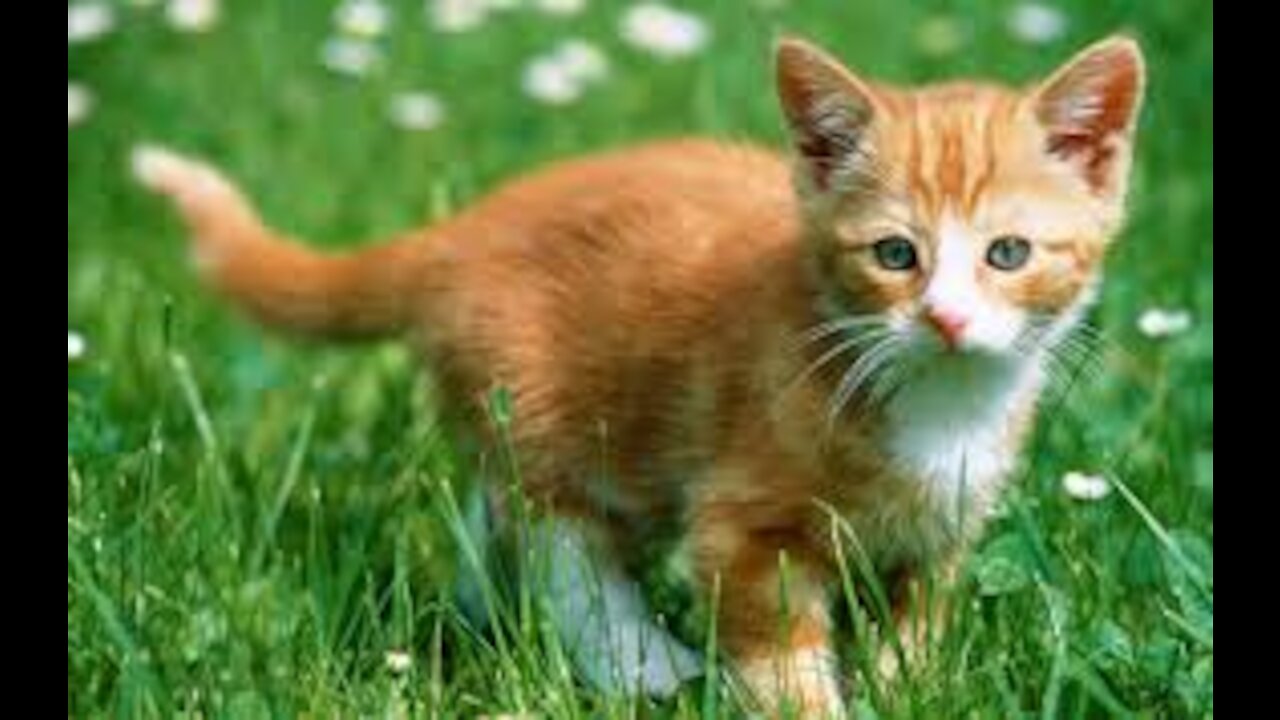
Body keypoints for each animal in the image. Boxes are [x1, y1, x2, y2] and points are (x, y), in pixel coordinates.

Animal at [135, 36, 1146, 712]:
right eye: (895, 254)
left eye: (1008, 253)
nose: (946, 318)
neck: (940, 402)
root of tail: (461, 232)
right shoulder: (743, 526)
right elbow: (780, 657)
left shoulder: (945, 525)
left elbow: (917, 628)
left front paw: (912, 688)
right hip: (547, 414)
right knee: (559, 546)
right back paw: (644, 663)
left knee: (496, 524)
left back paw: (482, 617)